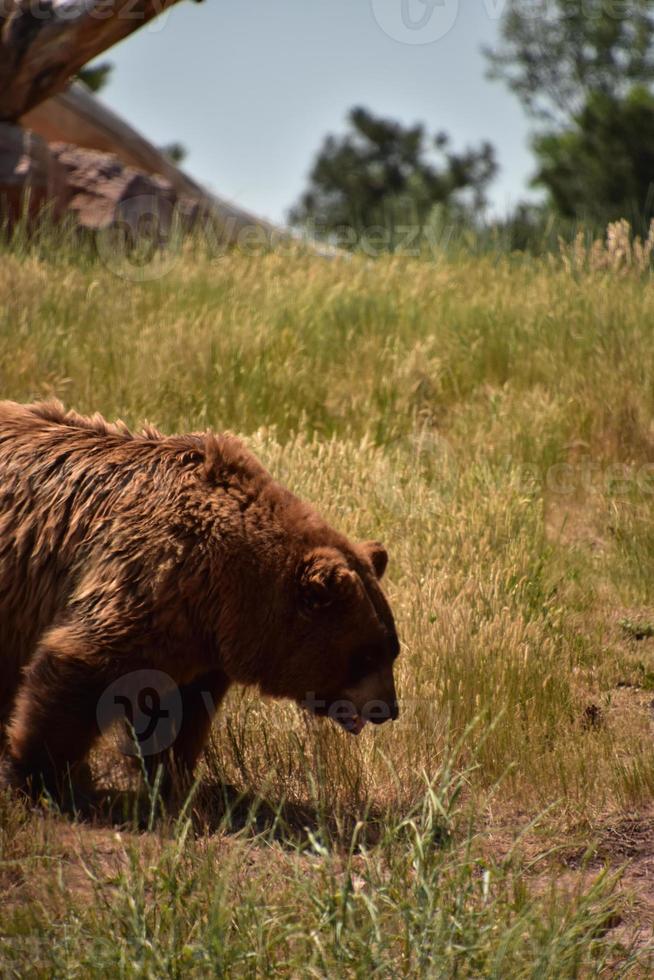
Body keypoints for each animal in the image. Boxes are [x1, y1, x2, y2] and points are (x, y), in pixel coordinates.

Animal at [0, 402, 400, 800]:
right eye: (365, 655)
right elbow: (80, 665)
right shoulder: (149, 575)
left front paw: (174, 779)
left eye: (392, 649)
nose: (388, 708)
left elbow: (177, 708)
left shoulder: (190, 632)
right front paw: (41, 774)